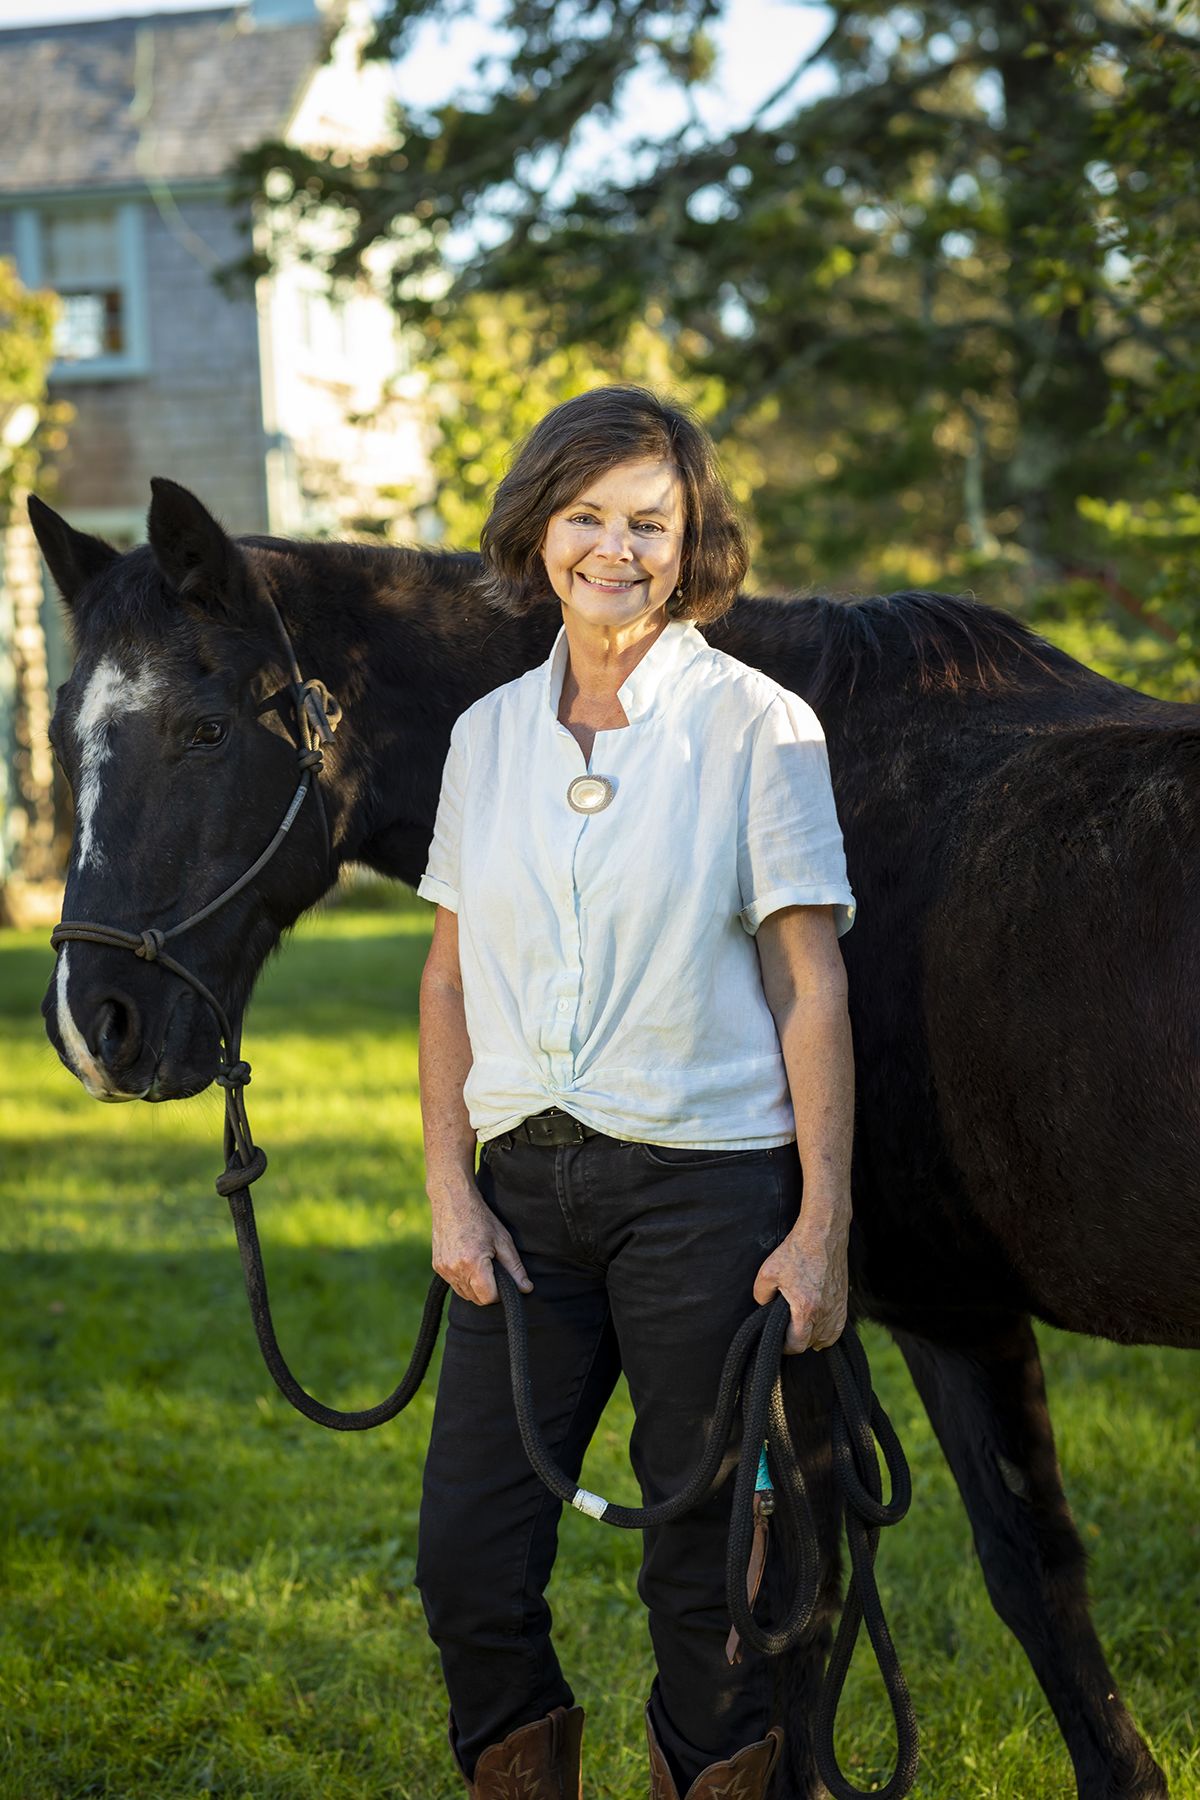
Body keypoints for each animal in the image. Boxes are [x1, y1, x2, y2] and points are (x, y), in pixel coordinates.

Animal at [28, 476, 1198, 1800]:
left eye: (208, 730)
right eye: (63, 738)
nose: (94, 1024)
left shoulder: (872, 1314)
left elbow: (856, 1606)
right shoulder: (916, 1316)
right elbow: (965, 1585)